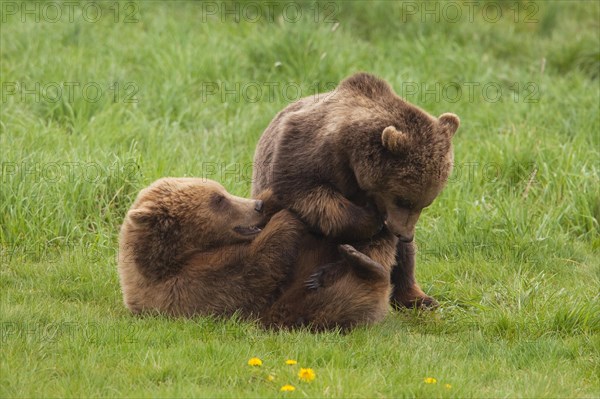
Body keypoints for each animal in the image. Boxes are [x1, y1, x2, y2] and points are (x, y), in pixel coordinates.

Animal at [118, 178, 394, 332]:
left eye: (222, 191)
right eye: (218, 200)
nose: (256, 206)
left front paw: (278, 200)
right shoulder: (186, 288)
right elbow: (252, 270)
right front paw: (287, 218)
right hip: (304, 307)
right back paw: (358, 263)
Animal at [250, 72, 460, 310]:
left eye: (425, 204)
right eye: (403, 200)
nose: (405, 234)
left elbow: (380, 248)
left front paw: (330, 272)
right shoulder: (307, 150)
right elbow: (307, 192)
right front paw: (369, 220)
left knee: (405, 258)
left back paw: (418, 297)